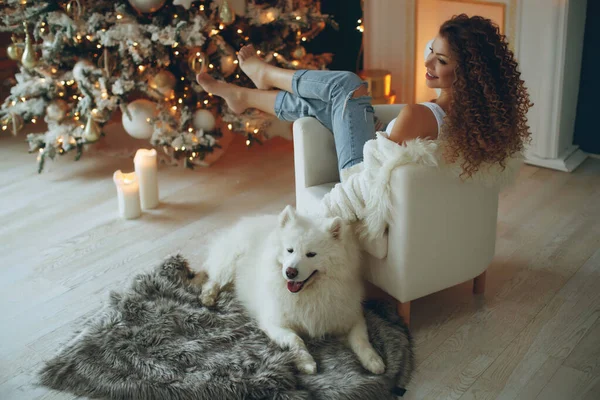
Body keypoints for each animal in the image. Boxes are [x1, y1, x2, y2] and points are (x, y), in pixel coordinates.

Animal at [200, 206, 384, 376]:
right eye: (290, 250)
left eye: (311, 254)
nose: (290, 272)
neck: (308, 294)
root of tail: (248, 221)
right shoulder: (274, 323)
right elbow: (294, 339)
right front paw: (306, 362)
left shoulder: (351, 316)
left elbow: (361, 339)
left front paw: (373, 360)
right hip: (228, 264)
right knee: (213, 280)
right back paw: (208, 297)